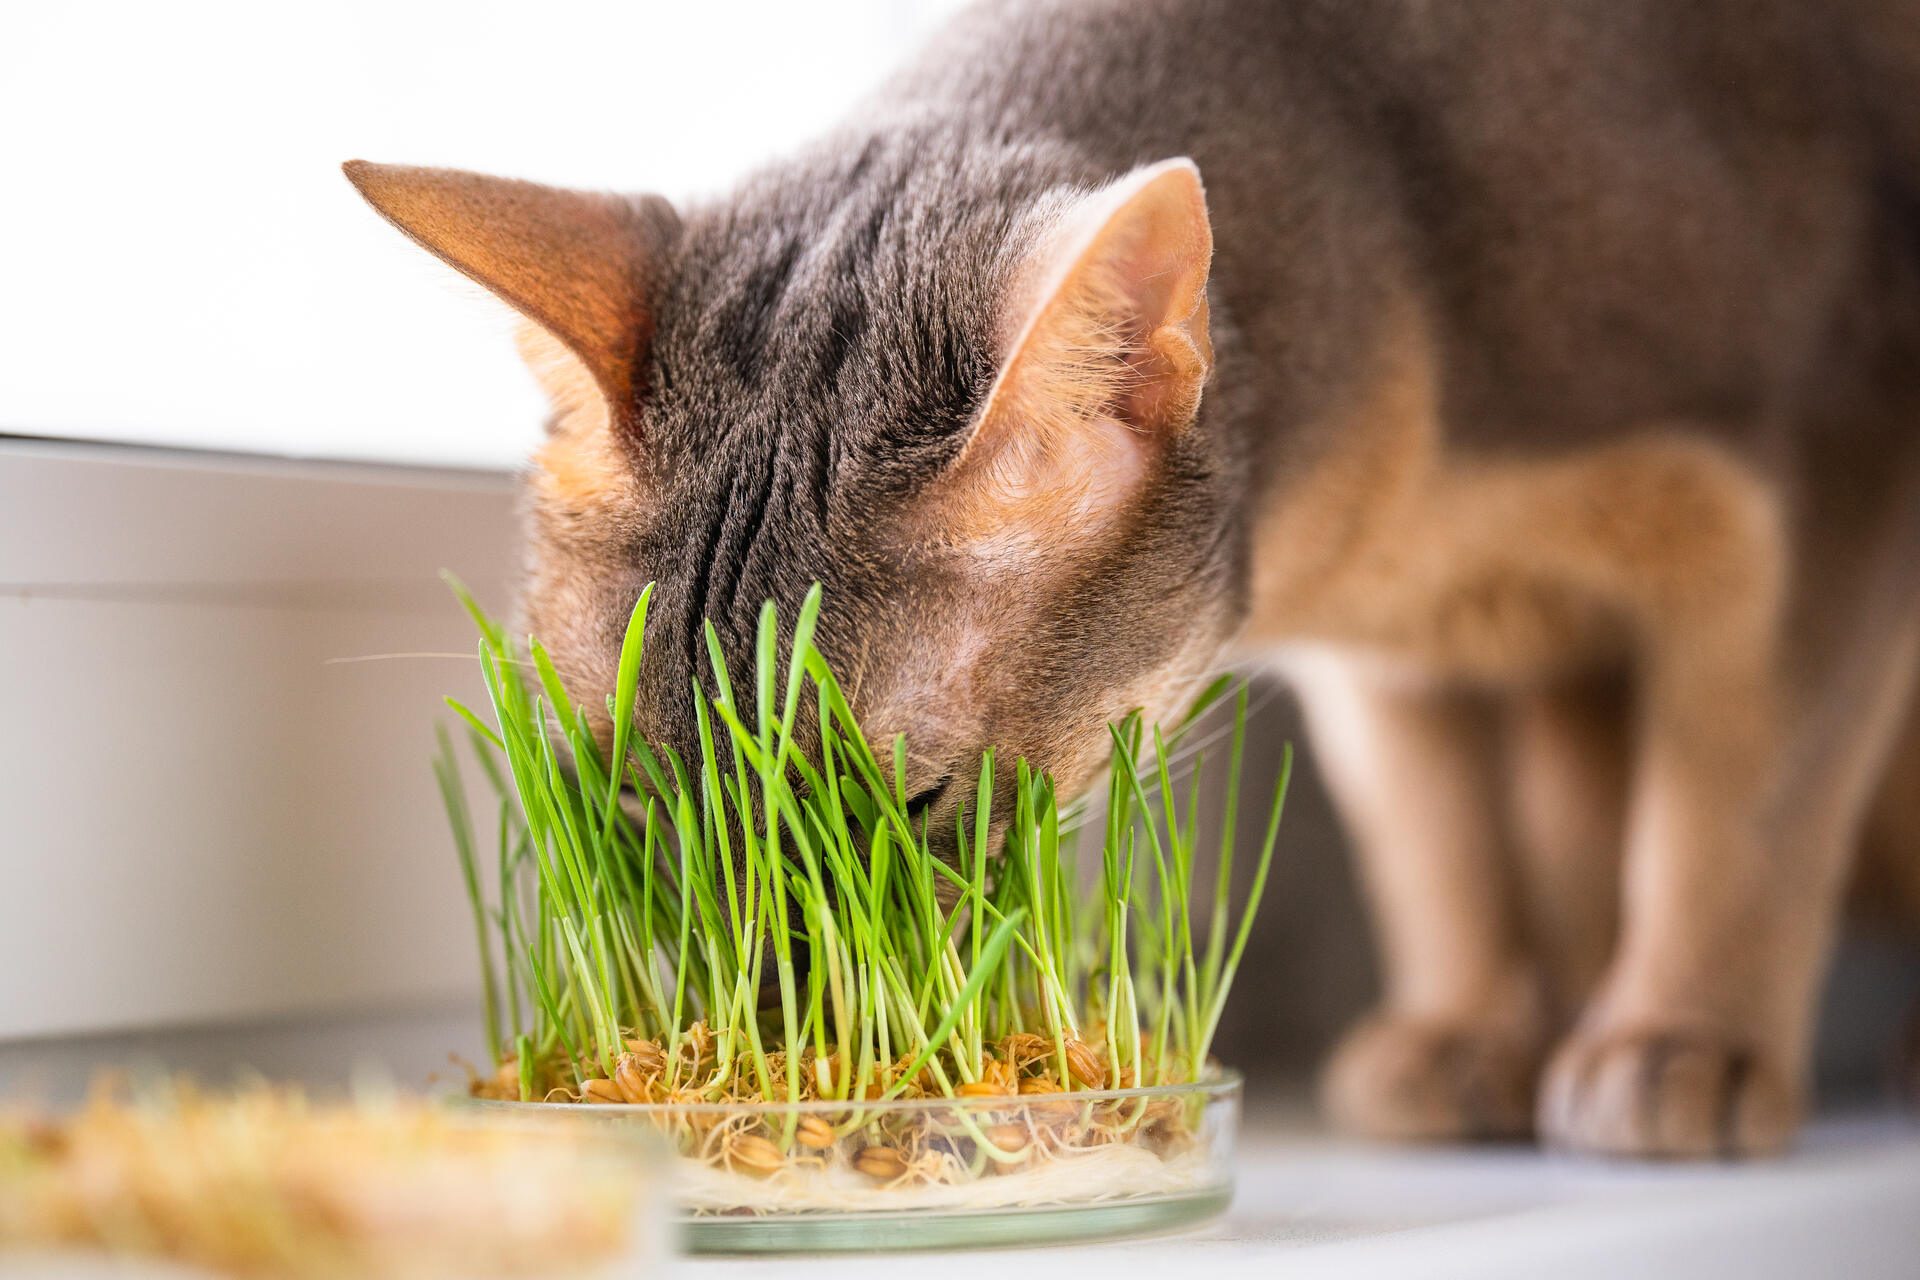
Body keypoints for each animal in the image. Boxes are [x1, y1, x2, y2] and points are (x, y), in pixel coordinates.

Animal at [345, 0, 1920, 1159]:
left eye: (915, 803)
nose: (788, 1040)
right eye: (631, 799)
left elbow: (1737, 804)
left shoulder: (1839, 454)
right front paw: (1467, 1028)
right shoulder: (1395, 663)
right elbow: (1437, 841)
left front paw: (1683, 1043)